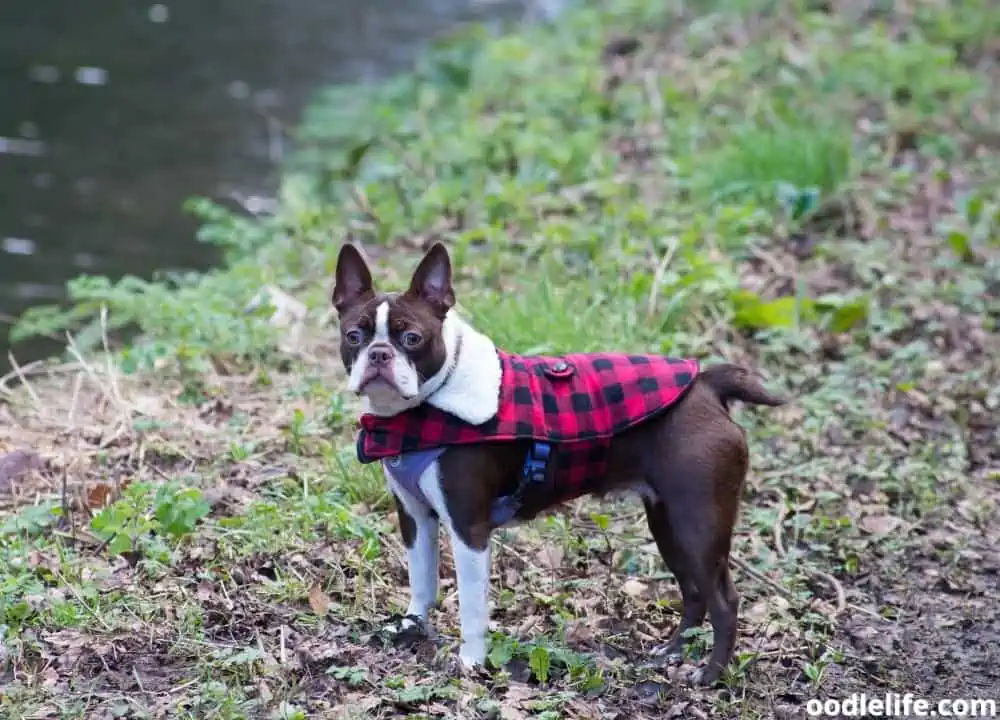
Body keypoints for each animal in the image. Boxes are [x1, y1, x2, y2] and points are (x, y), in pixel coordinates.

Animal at [332, 242, 784, 688]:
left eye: (413, 338)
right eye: (353, 336)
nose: (379, 353)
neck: (422, 410)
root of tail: (706, 385)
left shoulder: (467, 527)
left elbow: (472, 607)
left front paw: (471, 662)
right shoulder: (415, 517)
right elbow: (421, 579)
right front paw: (412, 626)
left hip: (697, 524)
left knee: (723, 600)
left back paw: (710, 674)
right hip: (668, 521)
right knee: (693, 591)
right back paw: (671, 651)